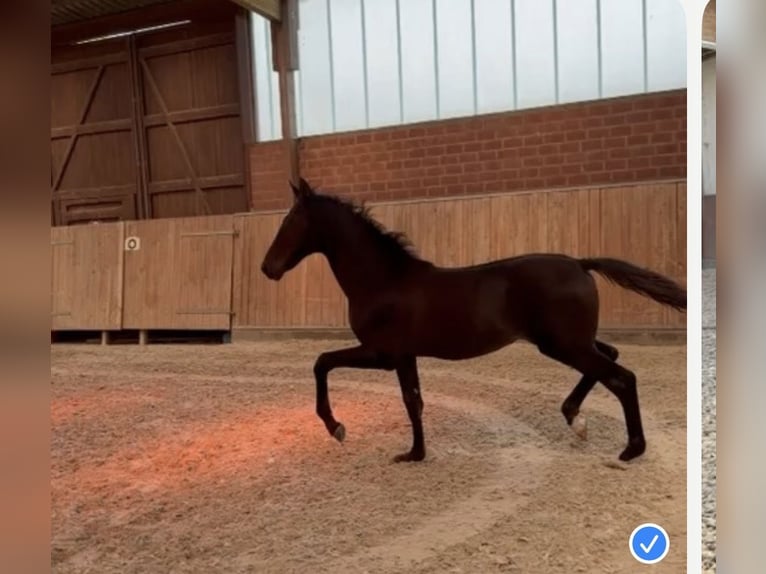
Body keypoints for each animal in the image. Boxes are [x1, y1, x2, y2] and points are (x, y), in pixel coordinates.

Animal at [260, 178, 686, 463]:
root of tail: (580, 263)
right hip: (571, 341)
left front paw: (338, 428)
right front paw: (416, 453)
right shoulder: (404, 357)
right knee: (610, 357)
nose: (267, 268)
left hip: (562, 344)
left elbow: (324, 363)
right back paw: (574, 418)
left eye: (289, 221)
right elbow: (414, 400)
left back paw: (631, 449)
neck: (384, 280)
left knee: (622, 376)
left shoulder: (382, 354)